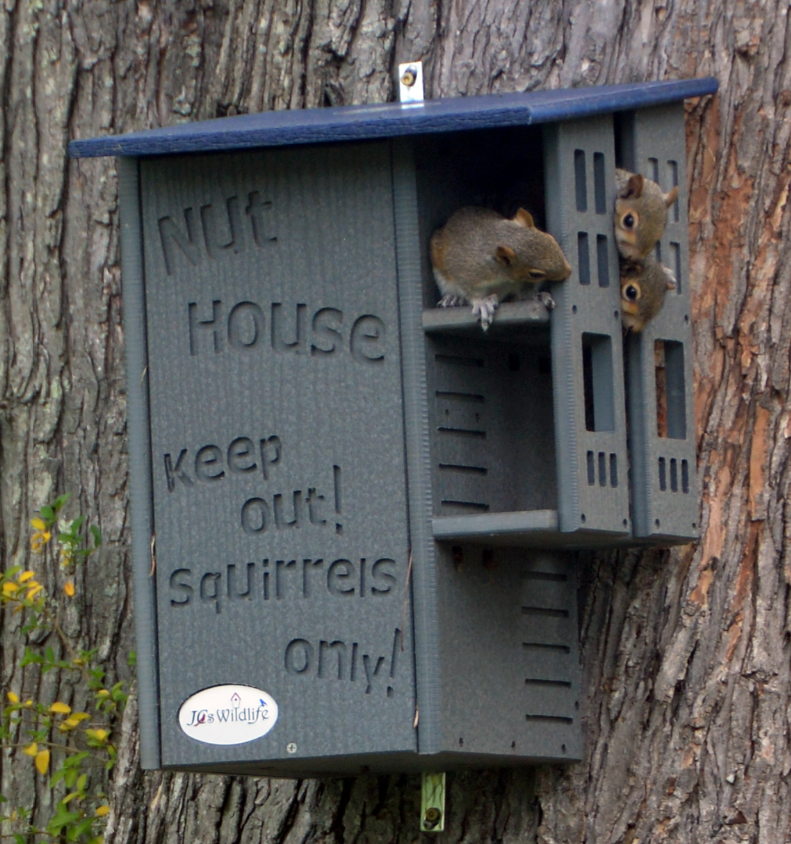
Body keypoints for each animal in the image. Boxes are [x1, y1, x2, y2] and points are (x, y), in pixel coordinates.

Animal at [430, 206, 572, 330]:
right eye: (535, 274)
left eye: (550, 238)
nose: (568, 271)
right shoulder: (466, 271)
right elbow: (471, 291)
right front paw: (482, 304)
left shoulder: (520, 283)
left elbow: (524, 294)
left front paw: (537, 296)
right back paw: (454, 298)